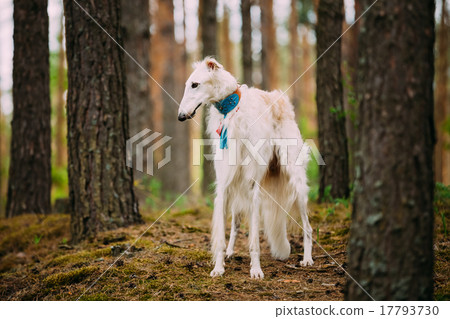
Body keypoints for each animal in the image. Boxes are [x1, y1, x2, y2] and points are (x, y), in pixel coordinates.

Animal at [177, 58, 312, 280]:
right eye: (188, 84)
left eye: (195, 85)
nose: (180, 116)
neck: (231, 112)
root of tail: (280, 99)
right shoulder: (224, 185)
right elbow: (222, 237)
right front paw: (219, 267)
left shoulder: (252, 186)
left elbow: (255, 241)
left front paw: (256, 270)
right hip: (236, 189)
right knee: (235, 225)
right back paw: (231, 252)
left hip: (296, 184)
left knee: (308, 227)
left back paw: (308, 258)